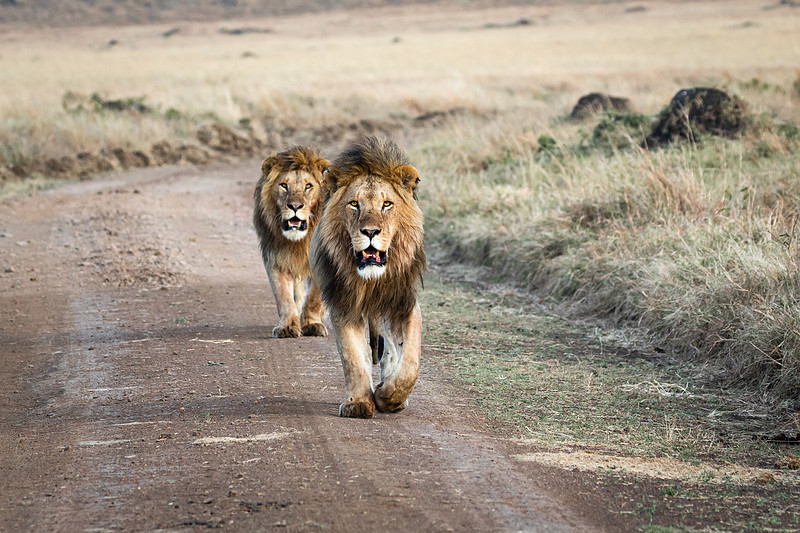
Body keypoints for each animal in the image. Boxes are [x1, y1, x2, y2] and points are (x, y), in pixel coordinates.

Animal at [253, 146, 330, 338]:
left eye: (308, 186)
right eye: (283, 185)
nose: (295, 206)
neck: (299, 241)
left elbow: (314, 298)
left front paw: (313, 324)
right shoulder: (276, 258)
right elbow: (284, 297)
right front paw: (287, 327)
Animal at [309, 136, 426, 418]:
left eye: (387, 204)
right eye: (354, 204)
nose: (371, 232)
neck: (373, 280)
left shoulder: (404, 302)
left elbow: (410, 362)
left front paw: (388, 396)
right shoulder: (344, 303)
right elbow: (353, 357)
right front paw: (359, 403)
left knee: (392, 351)